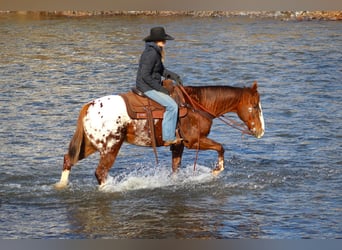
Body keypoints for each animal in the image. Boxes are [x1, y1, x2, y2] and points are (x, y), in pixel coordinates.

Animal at [54, 81, 266, 188]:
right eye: (255, 106)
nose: (261, 131)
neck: (197, 105)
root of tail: (88, 106)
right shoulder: (194, 141)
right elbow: (221, 148)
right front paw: (216, 170)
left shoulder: (179, 145)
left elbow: (175, 169)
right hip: (111, 147)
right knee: (100, 172)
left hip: (89, 145)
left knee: (68, 160)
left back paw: (61, 186)